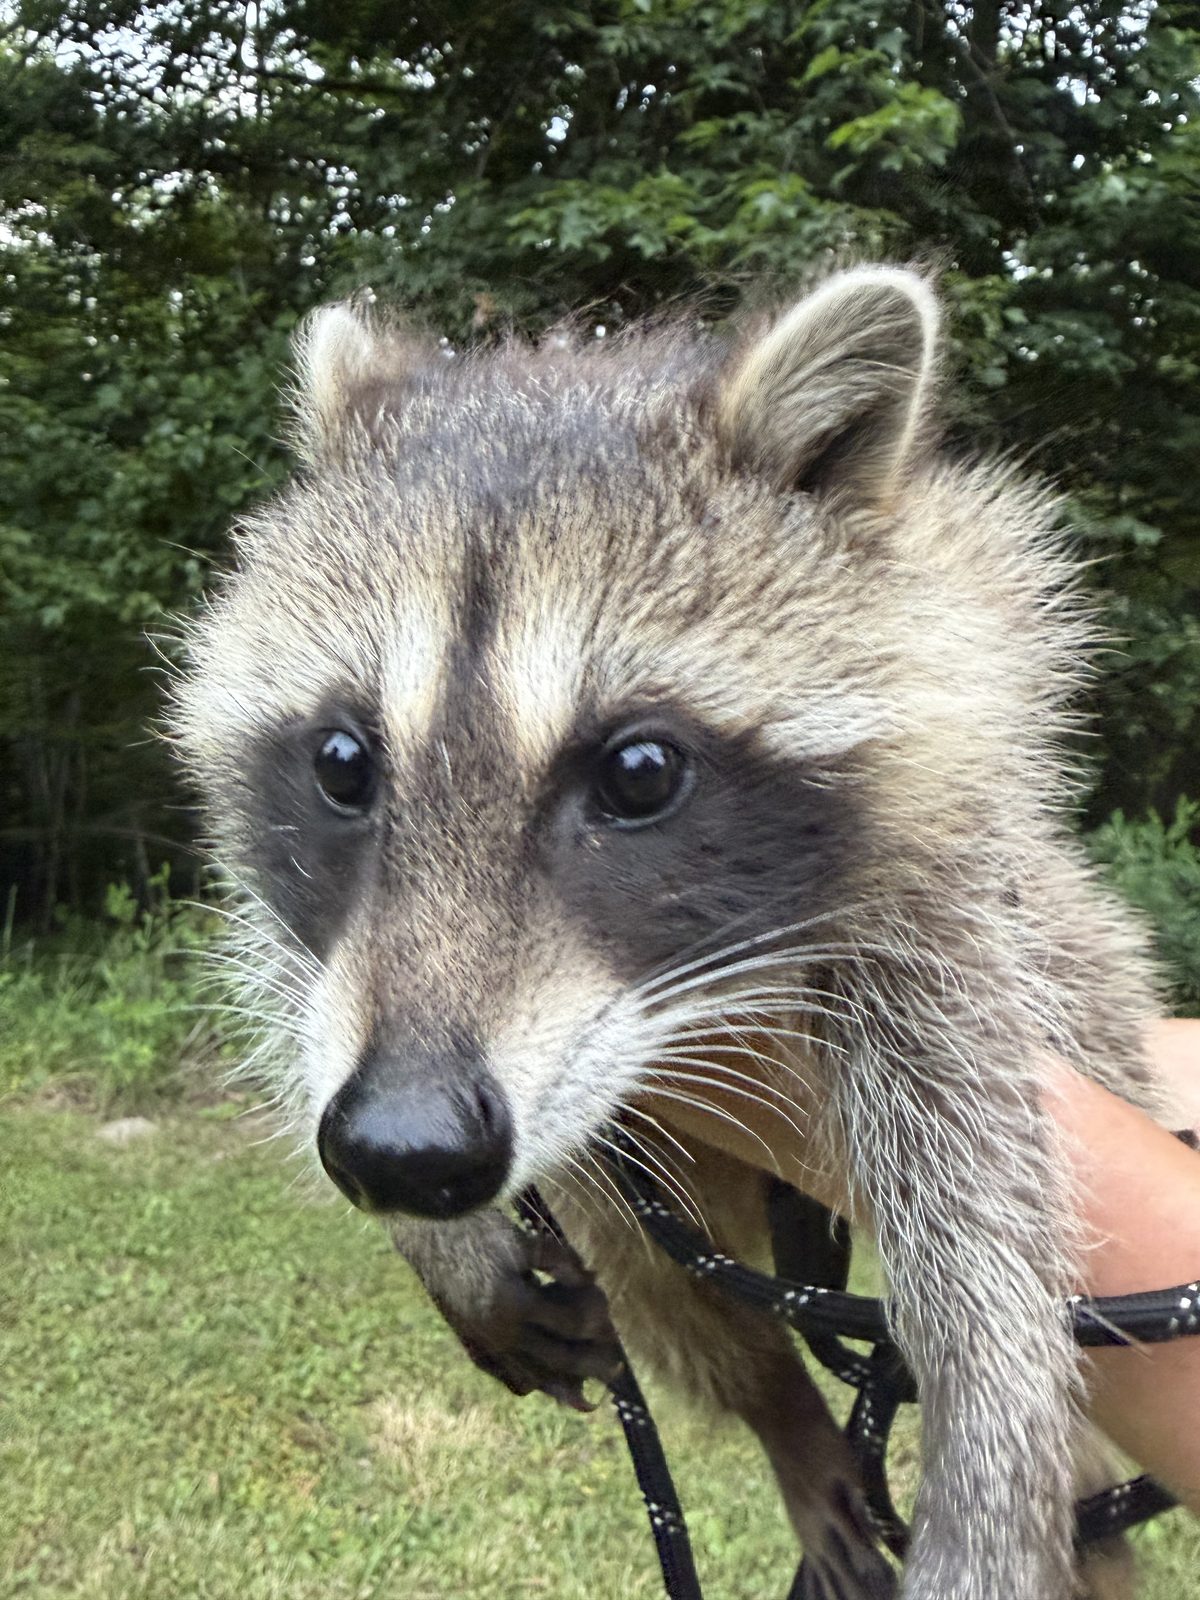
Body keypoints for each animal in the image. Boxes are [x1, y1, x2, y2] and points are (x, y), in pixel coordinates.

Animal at [170, 267, 1167, 1600]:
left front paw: (991, 1415)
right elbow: (289, 972)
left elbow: (975, 1129)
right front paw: (432, 1236)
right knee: (659, 1282)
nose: (401, 1148)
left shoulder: (951, 854)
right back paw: (779, 1406)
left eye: (639, 772)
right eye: (341, 760)